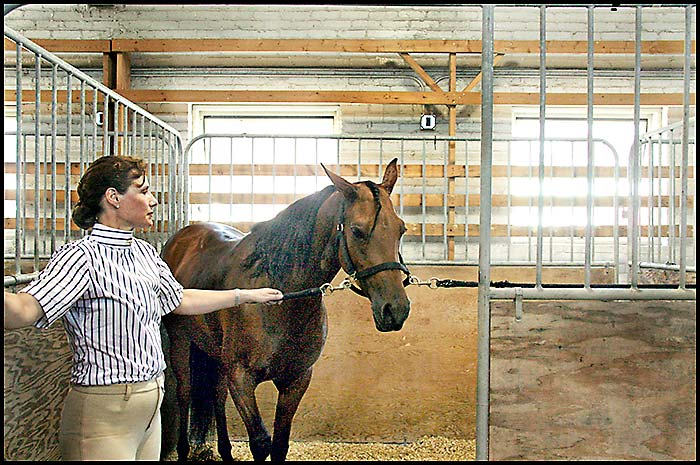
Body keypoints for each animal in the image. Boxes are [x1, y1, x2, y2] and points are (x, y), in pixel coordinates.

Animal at [159, 160, 410, 460]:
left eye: (401, 229)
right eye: (357, 231)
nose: (395, 309)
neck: (282, 295)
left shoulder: (296, 380)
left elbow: (280, 443)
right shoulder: (242, 379)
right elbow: (260, 442)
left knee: (217, 395)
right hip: (181, 345)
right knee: (185, 393)